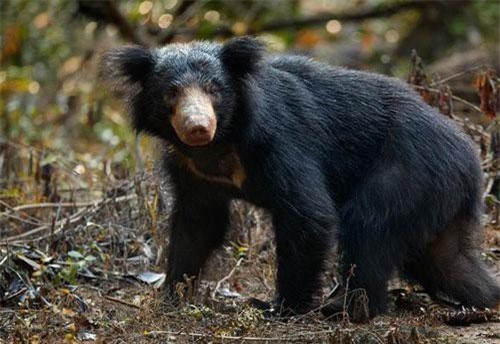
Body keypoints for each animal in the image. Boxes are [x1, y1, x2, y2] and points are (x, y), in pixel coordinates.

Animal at [101, 37, 496, 320]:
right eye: (172, 92)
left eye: (214, 90)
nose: (197, 127)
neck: (220, 144)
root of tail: (470, 160)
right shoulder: (191, 169)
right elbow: (197, 227)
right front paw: (171, 297)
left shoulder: (281, 141)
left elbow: (308, 214)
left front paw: (278, 308)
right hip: (432, 198)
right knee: (445, 259)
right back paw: (485, 298)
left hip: (405, 173)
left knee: (367, 226)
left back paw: (348, 309)